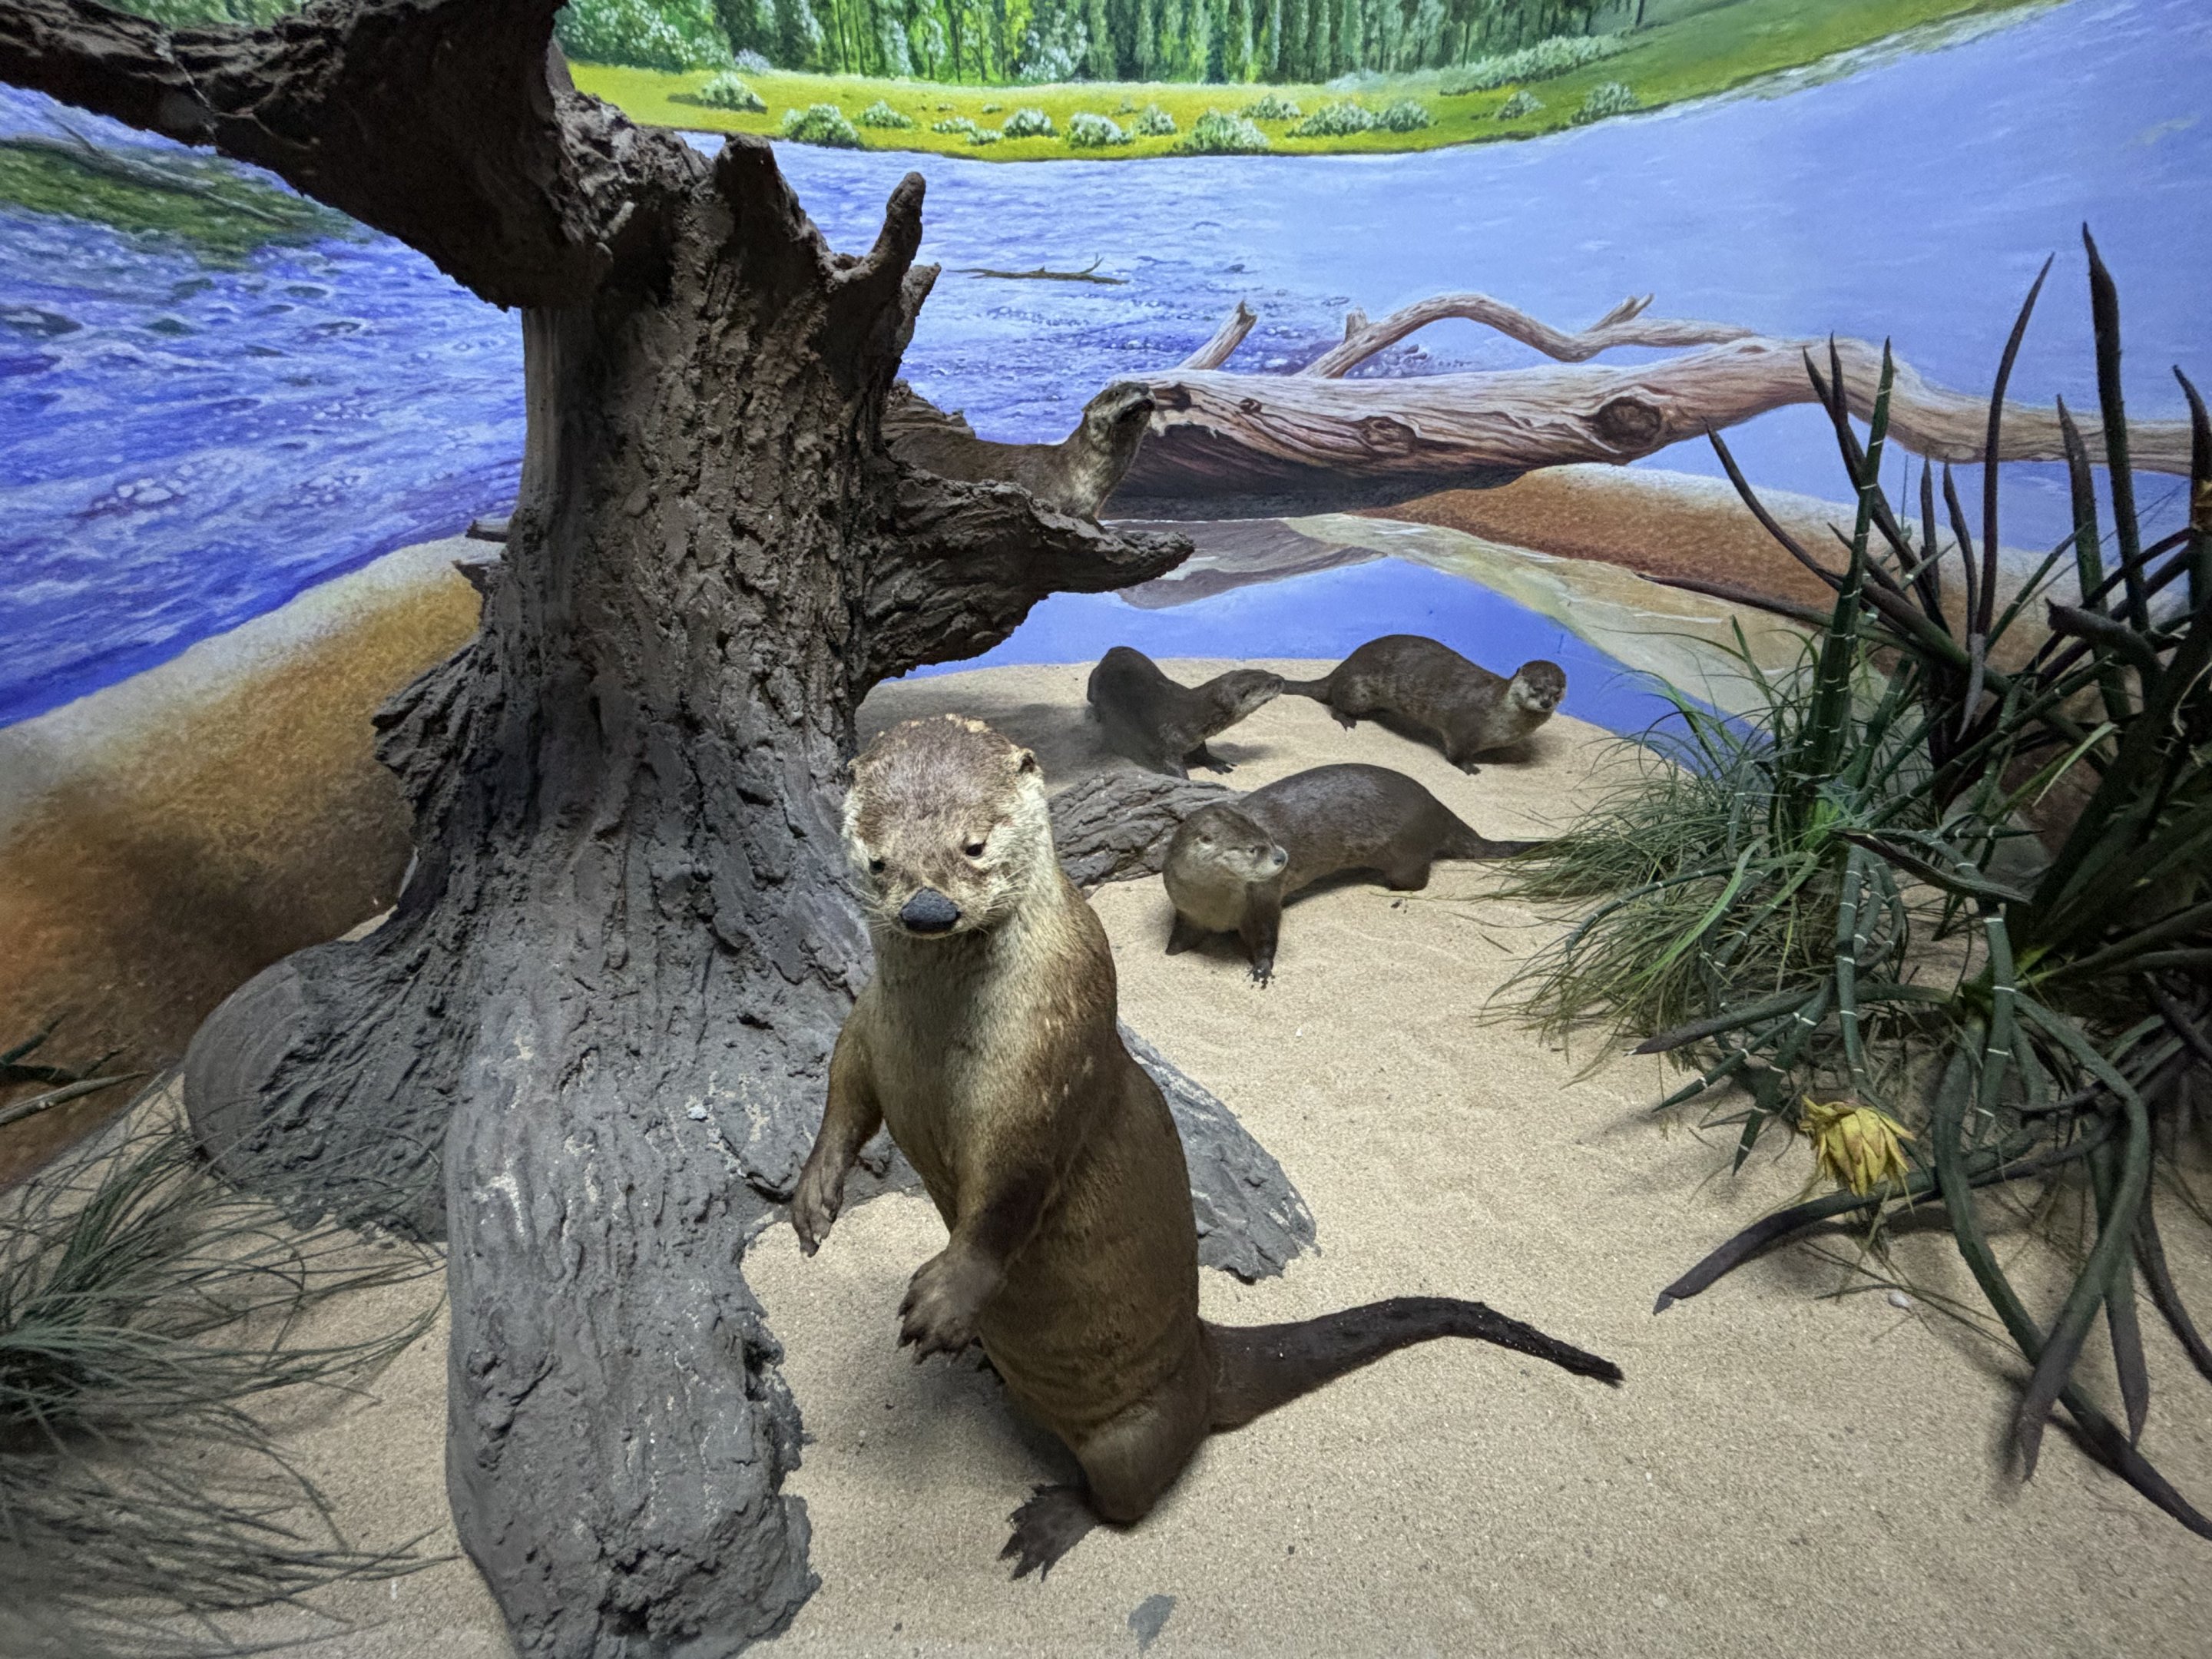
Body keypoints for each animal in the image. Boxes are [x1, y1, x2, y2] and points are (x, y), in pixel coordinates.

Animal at [1086, 646, 1283, 778]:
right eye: (1269, 684)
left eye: (1264, 672)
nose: (1281, 679)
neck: (1192, 715)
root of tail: (1114, 650)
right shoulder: (1165, 742)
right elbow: (1173, 768)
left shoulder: (1194, 738)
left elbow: (1201, 750)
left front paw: (1216, 762)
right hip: (1094, 682)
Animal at [1162, 763, 1540, 984]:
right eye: (1253, 848)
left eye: (1269, 838)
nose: (1283, 856)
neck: (1215, 905)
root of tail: (1438, 809)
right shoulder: (1187, 908)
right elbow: (1182, 932)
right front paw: (1170, 951)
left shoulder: (1263, 903)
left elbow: (1267, 938)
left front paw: (1262, 970)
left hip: (1406, 856)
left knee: (1418, 879)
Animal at [1281, 635, 1566, 771]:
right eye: (1537, 688)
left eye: (1558, 691)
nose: (1545, 702)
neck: (1501, 714)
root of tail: (1343, 668)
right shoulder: (1463, 730)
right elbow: (1456, 754)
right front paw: (1469, 767)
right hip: (1357, 691)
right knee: (1336, 704)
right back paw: (1347, 719)